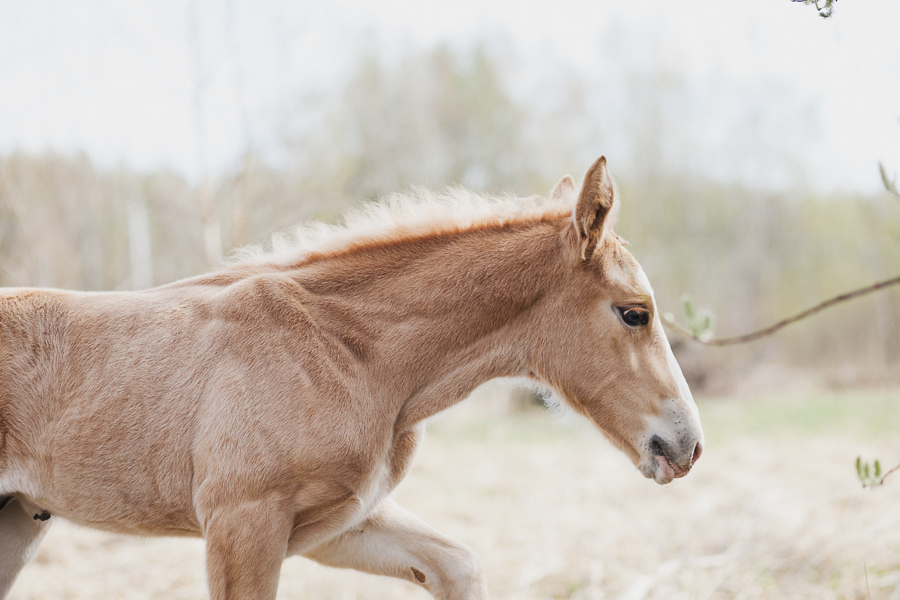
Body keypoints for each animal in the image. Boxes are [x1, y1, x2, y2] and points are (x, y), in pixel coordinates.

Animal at [0, 157, 704, 596]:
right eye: (634, 313)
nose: (687, 445)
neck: (346, 349)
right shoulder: (242, 524)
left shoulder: (337, 523)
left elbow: (460, 566)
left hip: (17, 522)